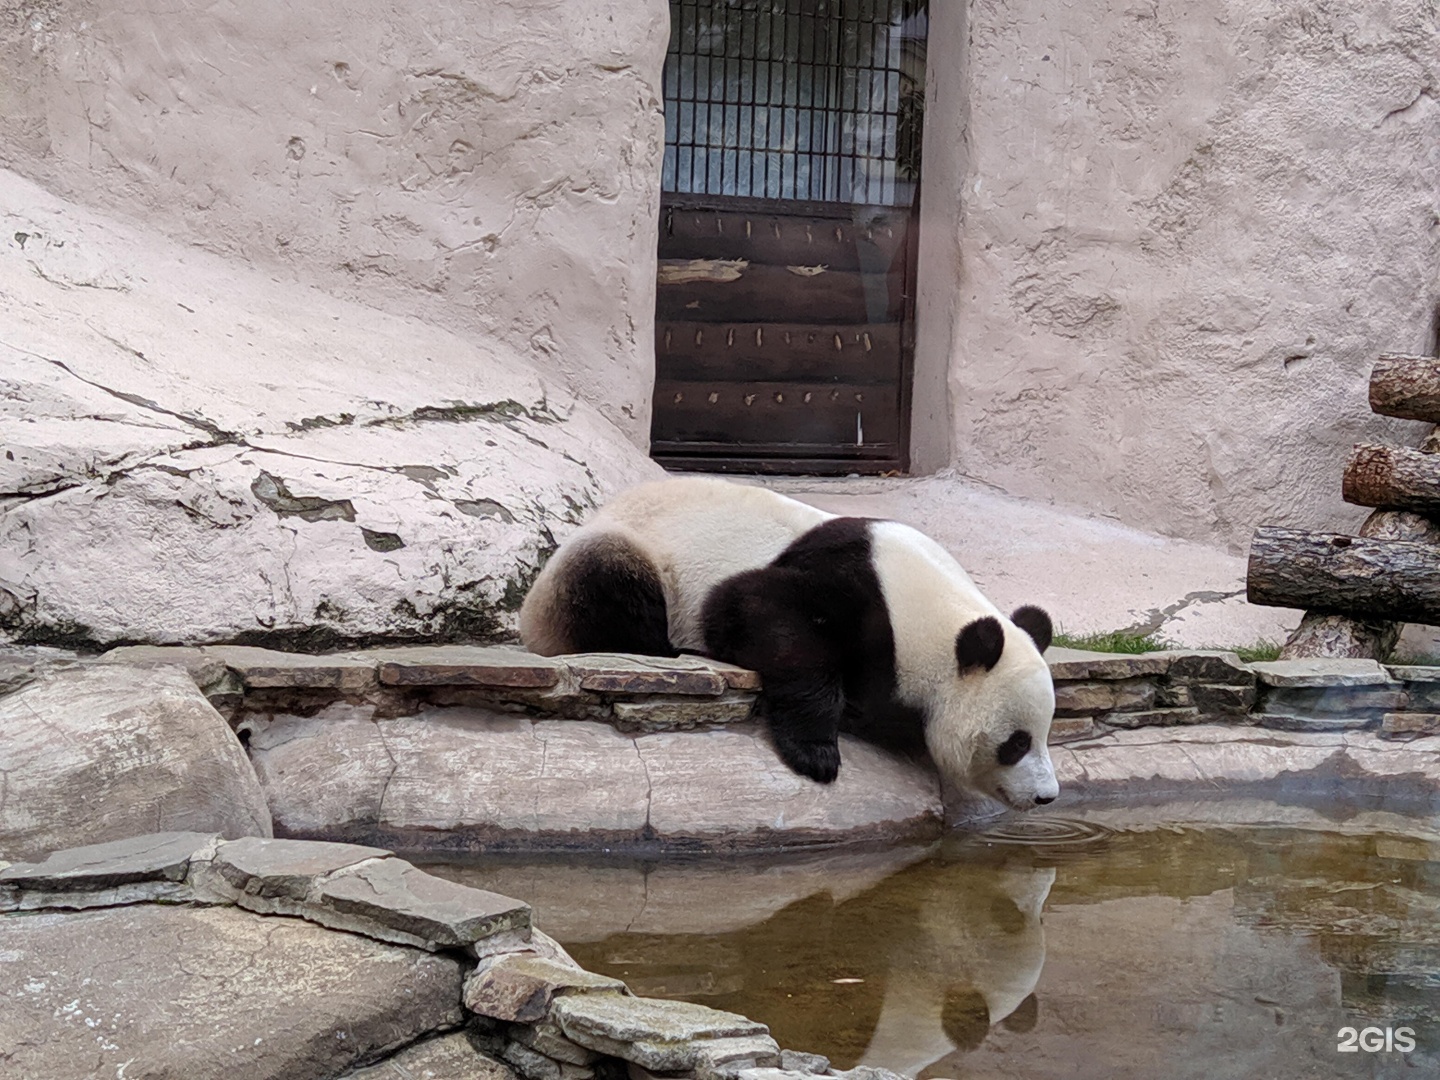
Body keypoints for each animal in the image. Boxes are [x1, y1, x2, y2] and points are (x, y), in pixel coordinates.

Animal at [518, 478, 1059, 806]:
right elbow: (756, 613)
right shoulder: (847, 586)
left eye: (1045, 733)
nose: (1046, 797)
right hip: (621, 557)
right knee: (610, 584)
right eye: (1016, 743)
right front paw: (816, 751)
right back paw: (673, 649)